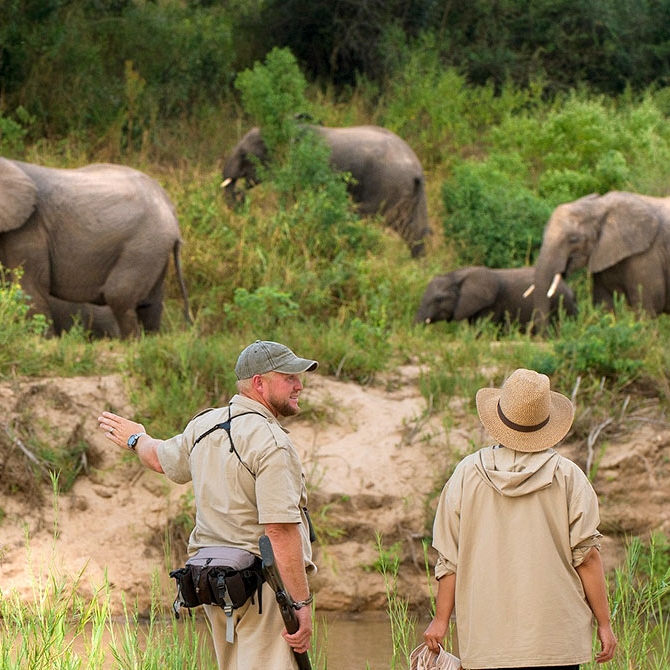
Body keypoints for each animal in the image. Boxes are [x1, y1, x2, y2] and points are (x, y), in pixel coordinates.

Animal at [0, 156, 192, 336]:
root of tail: (169, 205)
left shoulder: (29, 227)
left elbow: (30, 287)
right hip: (155, 248)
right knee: (150, 306)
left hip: (144, 245)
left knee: (119, 297)